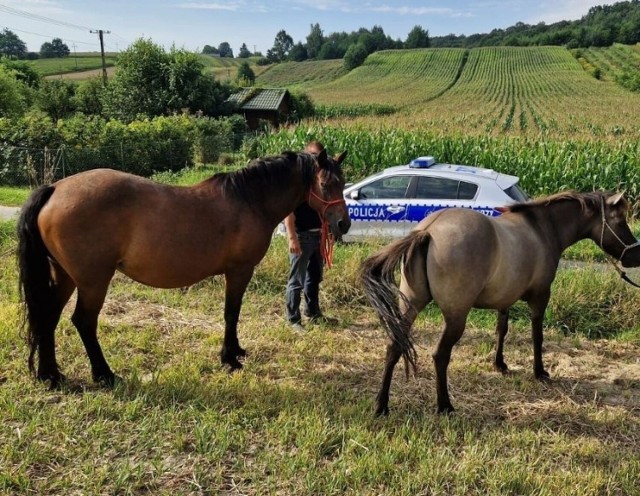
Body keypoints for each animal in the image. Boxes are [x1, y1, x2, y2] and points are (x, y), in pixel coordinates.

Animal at [17, 149, 350, 390]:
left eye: (343, 181)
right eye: (325, 184)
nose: (343, 224)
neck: (250, 200)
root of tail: (55, 188)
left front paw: (235, 352)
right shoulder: (239, 270)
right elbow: (232, 313)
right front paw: (230, 358)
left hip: (64, 276)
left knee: (48, 317)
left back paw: (51, 375)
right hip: (93, 281)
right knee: (83, 321)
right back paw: (105, 375)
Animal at [362, 192, 640, 416]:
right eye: (619, 221)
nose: (634, 257)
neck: (542, 229)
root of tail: (428, 231)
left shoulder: (504, 299)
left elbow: (501, 330)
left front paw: (500, 364)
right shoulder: (540, 297)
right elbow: (537, 336)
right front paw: (539, 371)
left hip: (410, 306)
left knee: (394, 347)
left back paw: (381, 406)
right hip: (455, 317)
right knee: (440, 355)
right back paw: (445, 405)